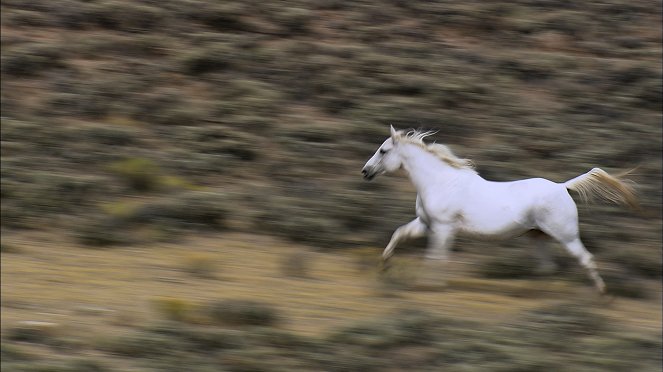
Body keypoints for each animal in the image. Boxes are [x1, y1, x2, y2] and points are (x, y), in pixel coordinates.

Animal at [364, 126, 640, 294]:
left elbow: (436, 257)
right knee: (547, 268)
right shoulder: (425, 224)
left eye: (383, 150)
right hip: (537, 237)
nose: (365, 171)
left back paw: (602, 294)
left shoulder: (443, 228)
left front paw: (430, 285)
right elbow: (399, 234)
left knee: (585, 259)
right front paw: (384, 266)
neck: (440, 182)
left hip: (566, 235)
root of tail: (563, 186)